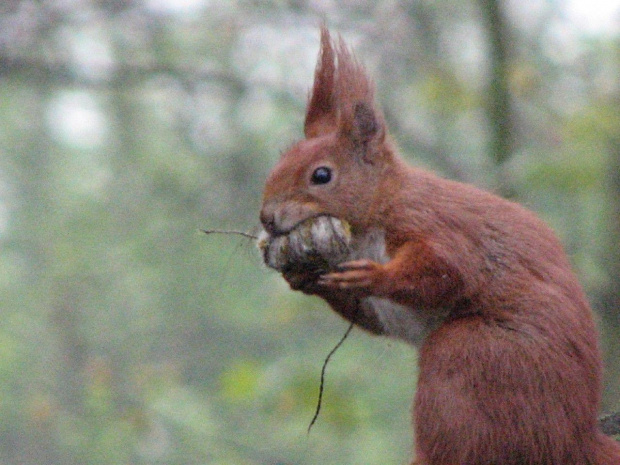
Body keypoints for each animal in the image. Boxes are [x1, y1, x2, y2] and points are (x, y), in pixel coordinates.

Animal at [256, 28, 620, 464]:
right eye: (279, 163)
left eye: (322, 175)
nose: (266, 218)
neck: (376, 214)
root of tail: (574, 438)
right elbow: (373, 317)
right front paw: (303, 278)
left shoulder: (437, 225)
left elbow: (448, 270)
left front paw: (376, 276)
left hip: (475, 357)